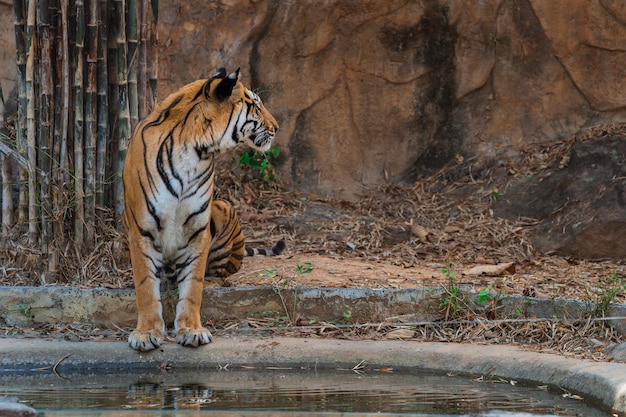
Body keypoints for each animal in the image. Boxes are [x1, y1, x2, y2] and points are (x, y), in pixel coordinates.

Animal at [120, 67, 276, 352]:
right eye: (256, 105)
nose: (277, 127)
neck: (195, 150)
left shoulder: (197, 228)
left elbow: (193, 286)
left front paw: (191, 330)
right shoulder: (141, 230)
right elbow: (145, 286)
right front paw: (146, 334)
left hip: (224, 208)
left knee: (219, 274)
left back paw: (212, 283)